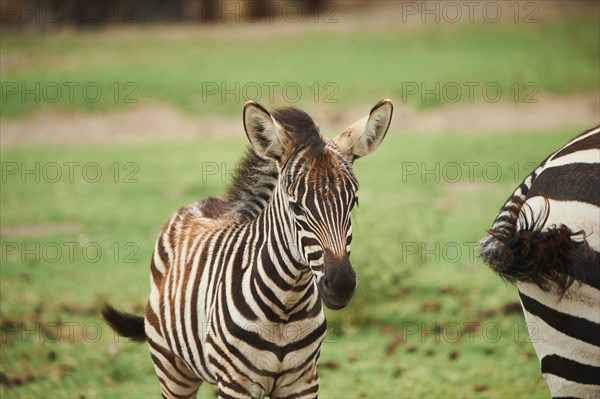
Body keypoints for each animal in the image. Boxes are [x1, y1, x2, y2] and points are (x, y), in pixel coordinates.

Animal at [103, 98, 394, 398]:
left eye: (353, 202)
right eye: (296, 206)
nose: (341, 285)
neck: (286, 305)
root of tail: (201, 204)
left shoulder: (303, 382)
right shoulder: (235, 384)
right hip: (172, 370)